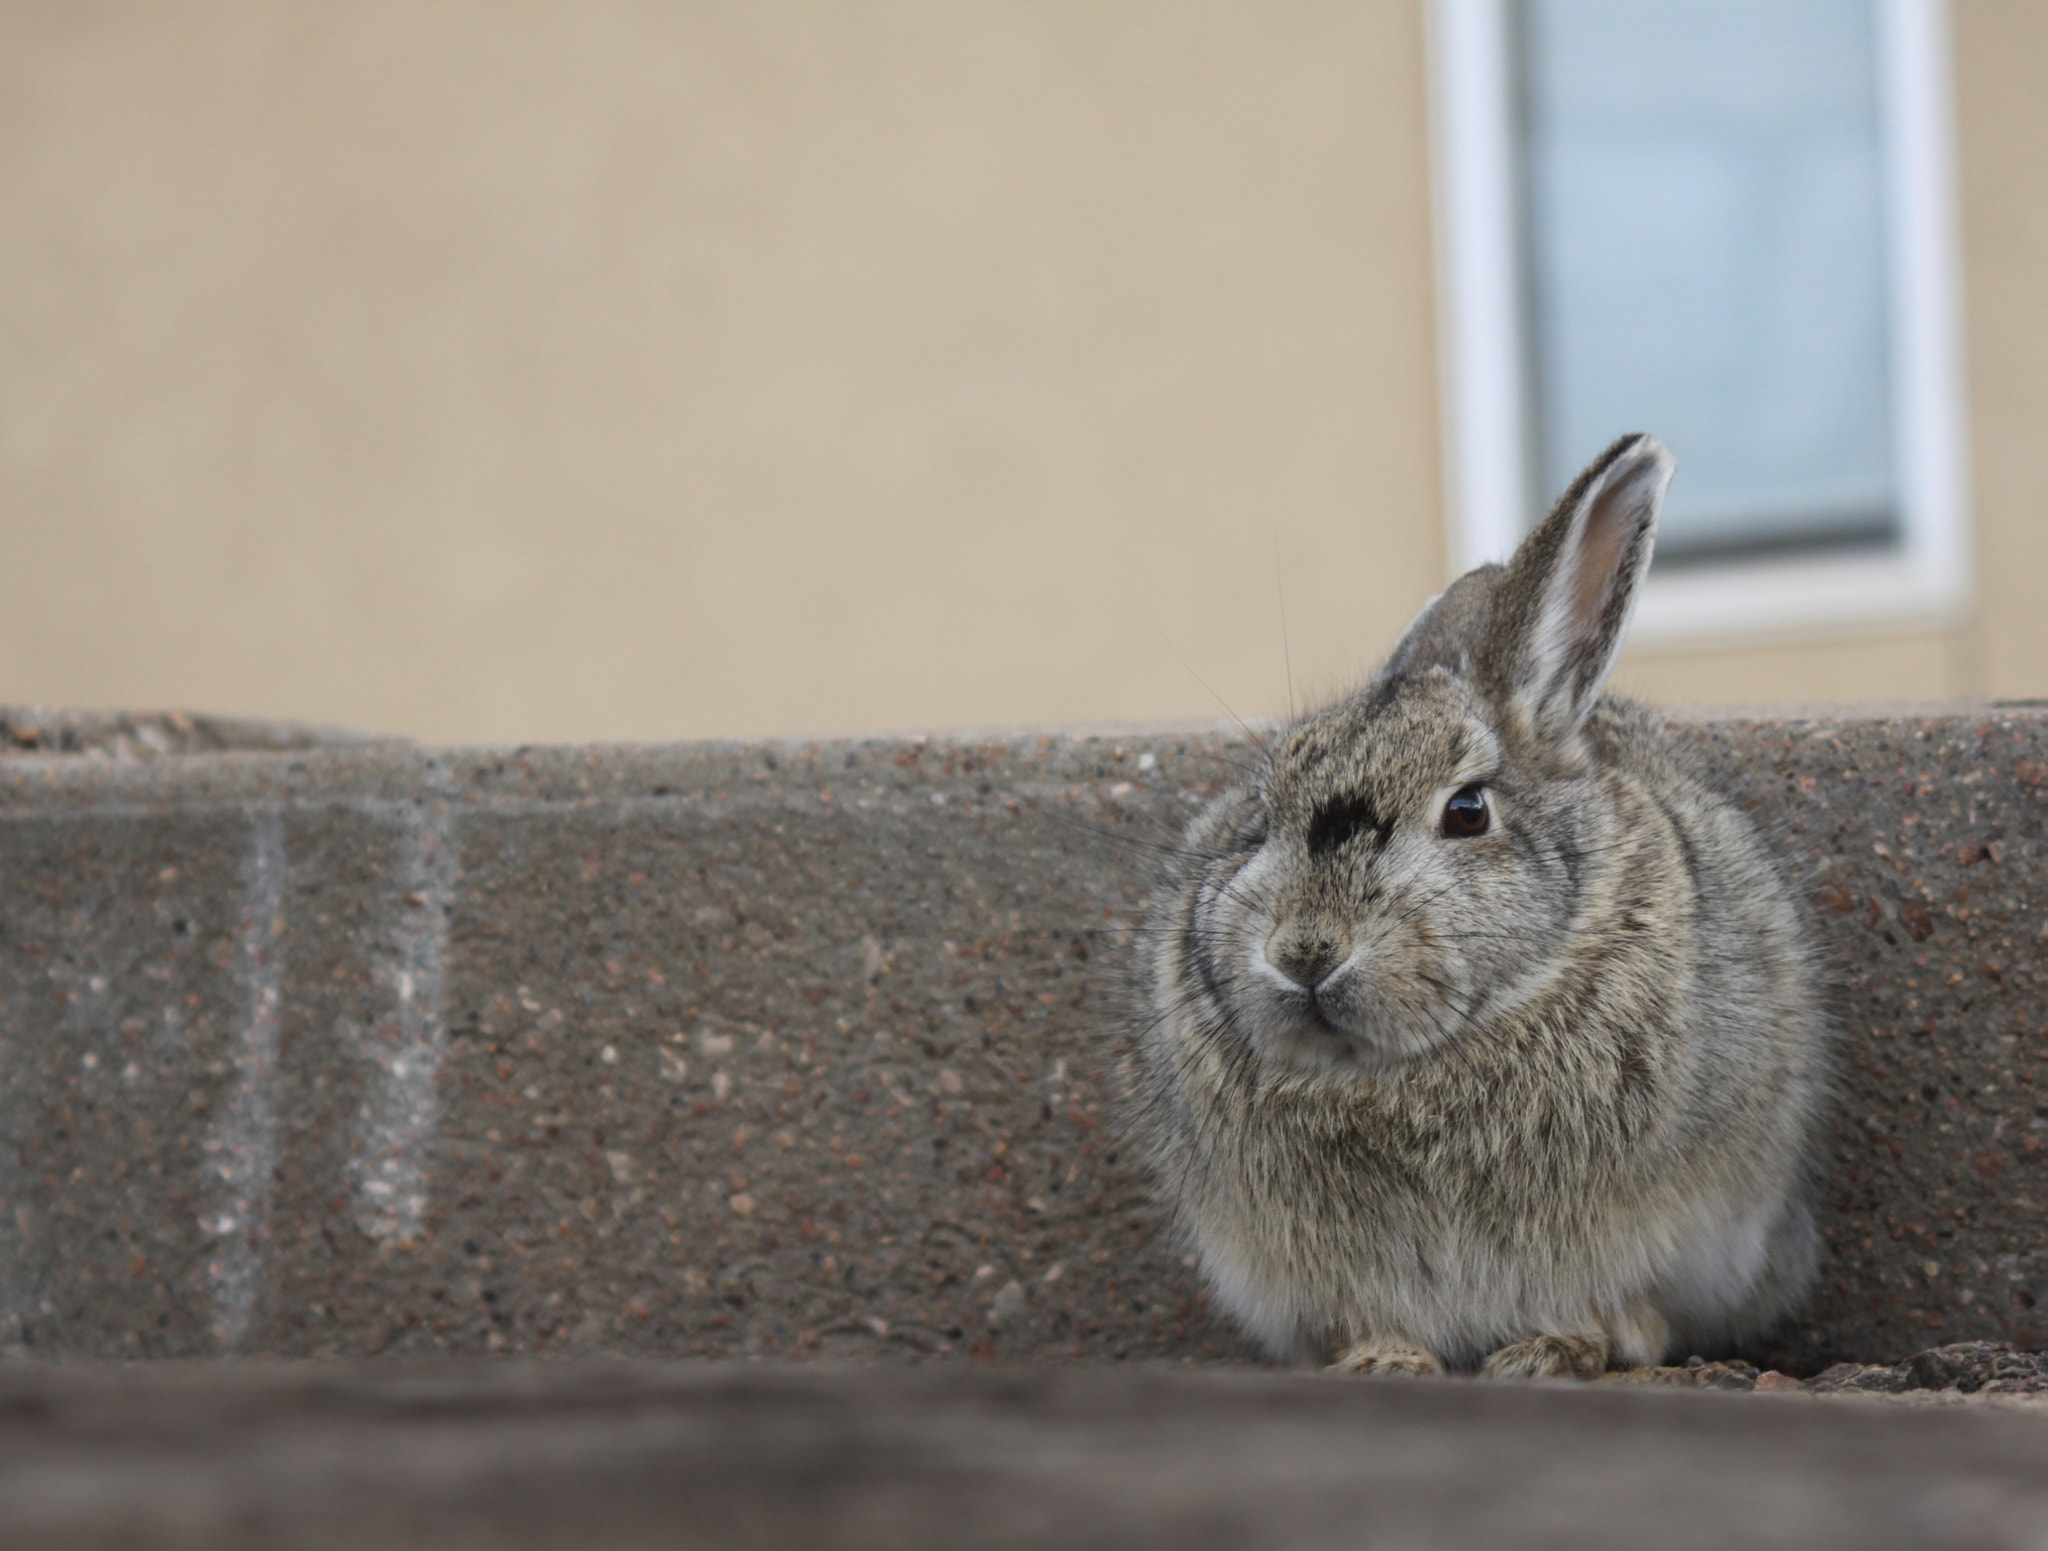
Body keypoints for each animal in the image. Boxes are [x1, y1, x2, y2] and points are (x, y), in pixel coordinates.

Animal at [1138, 430, 1826, 1376]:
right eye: (1260, 813)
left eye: (1467, 812)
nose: (1306, 952)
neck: (1405, 1070)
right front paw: (1383, 1360)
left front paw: (1554, 1347)